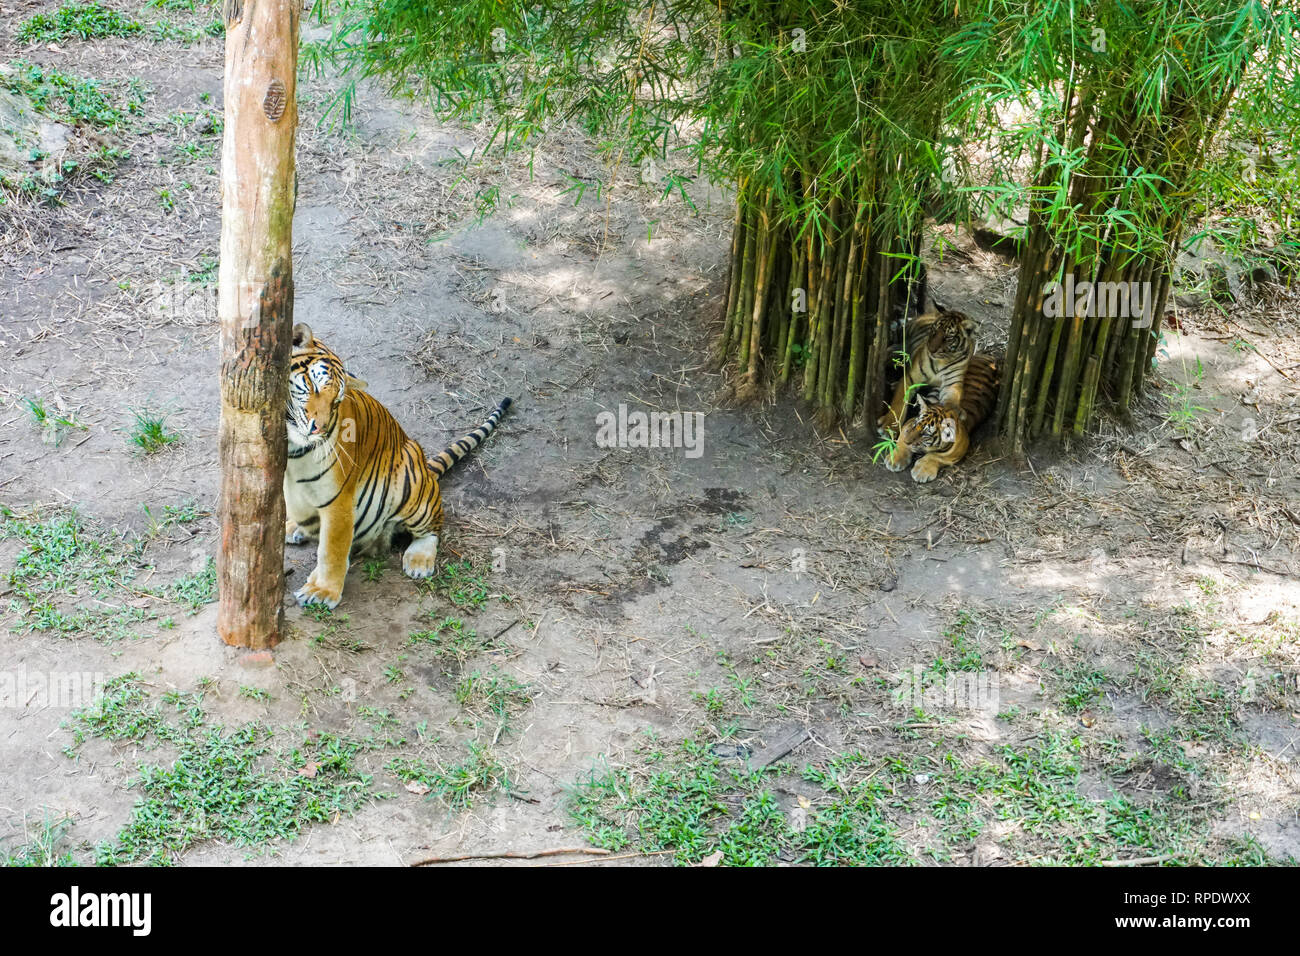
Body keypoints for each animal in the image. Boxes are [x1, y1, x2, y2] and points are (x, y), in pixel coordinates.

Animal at [284, 325, 512, 608]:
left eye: (336, 401)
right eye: (313, 385)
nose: (320, 428)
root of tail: (426, 468)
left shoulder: (338, 500)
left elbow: (332, 550)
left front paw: (323, 591)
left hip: (412, 487)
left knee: (434, 526)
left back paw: (419, 560)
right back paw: (293, 527)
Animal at [873, 308, 977, 439]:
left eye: (948, 338)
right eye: (934, 331)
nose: (931, 349)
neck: (943, 360)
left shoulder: (951, 384)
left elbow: (952, 399)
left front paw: (955, 411)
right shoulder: (910, 378)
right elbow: (899, 400)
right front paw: (889, 426)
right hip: (905, 332)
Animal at [883, 351, 993, 481]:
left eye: (925, 434)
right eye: (915, 426)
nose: (907, 442)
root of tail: (991, 357)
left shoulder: (961, 446)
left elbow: (937, 456)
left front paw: (921, 471)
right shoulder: (909, 423)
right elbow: (901, 439)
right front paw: (894, 460)